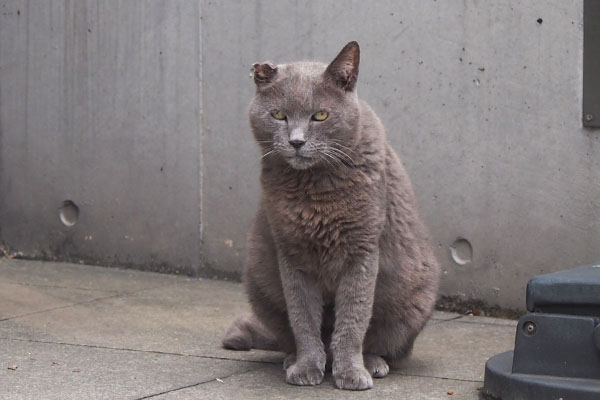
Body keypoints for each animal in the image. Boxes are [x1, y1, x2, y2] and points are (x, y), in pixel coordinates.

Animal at [223, 41, 438, 390]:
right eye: (278, 115)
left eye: (320, 115)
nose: (296, 142)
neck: (314, 190)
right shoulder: (292, 254)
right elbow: (303, 318)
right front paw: (307, 367)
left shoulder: (362, 252)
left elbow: (353, 318)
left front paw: (350, 373)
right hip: (259, 284)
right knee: (288, 333)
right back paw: (293, 359)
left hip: (414, 300)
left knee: (384, 344)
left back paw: (371, 363)